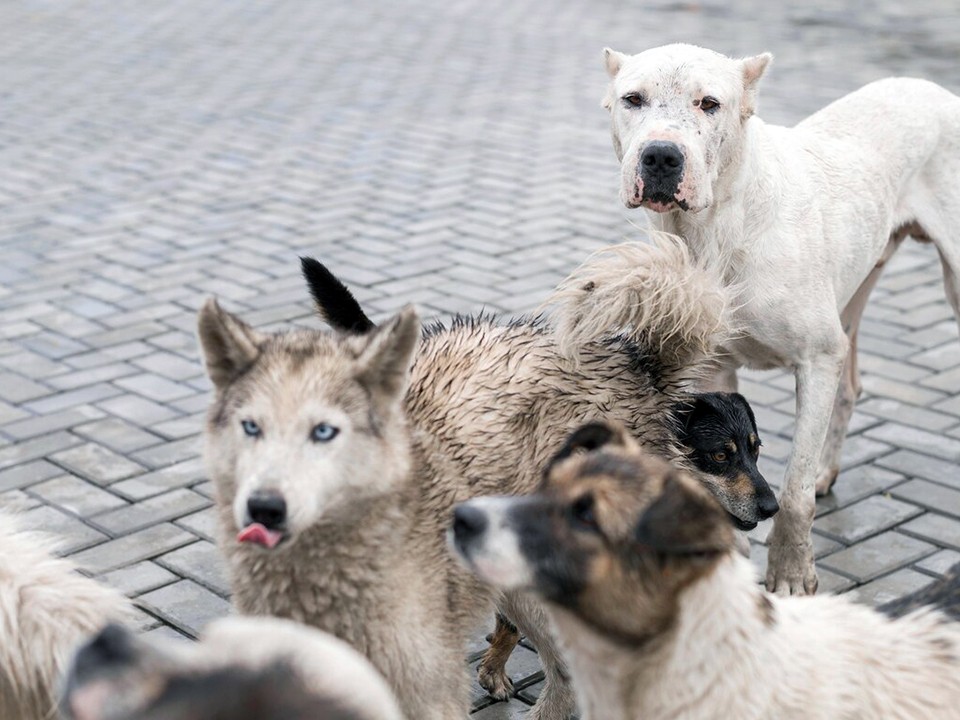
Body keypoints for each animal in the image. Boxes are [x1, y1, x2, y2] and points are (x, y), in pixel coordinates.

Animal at [568, 45, 960, 596]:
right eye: (633, 99)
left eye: (709, 103)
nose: (662, 155)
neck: (716, 228)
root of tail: (936, 90)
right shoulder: (712, 371)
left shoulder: (817, 358)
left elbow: (794, 492)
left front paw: (791, 574)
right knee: (850, 385)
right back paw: (827, 469)